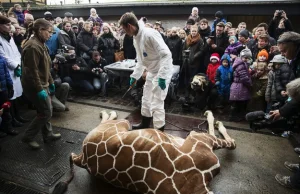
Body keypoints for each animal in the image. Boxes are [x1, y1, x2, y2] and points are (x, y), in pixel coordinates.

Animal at [57, 110, 236, 193]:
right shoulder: (199, 140)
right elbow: (231, 142)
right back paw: (107, 112)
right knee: (110, 120)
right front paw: (213, 117)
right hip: (123, 124)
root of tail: (82, 158)